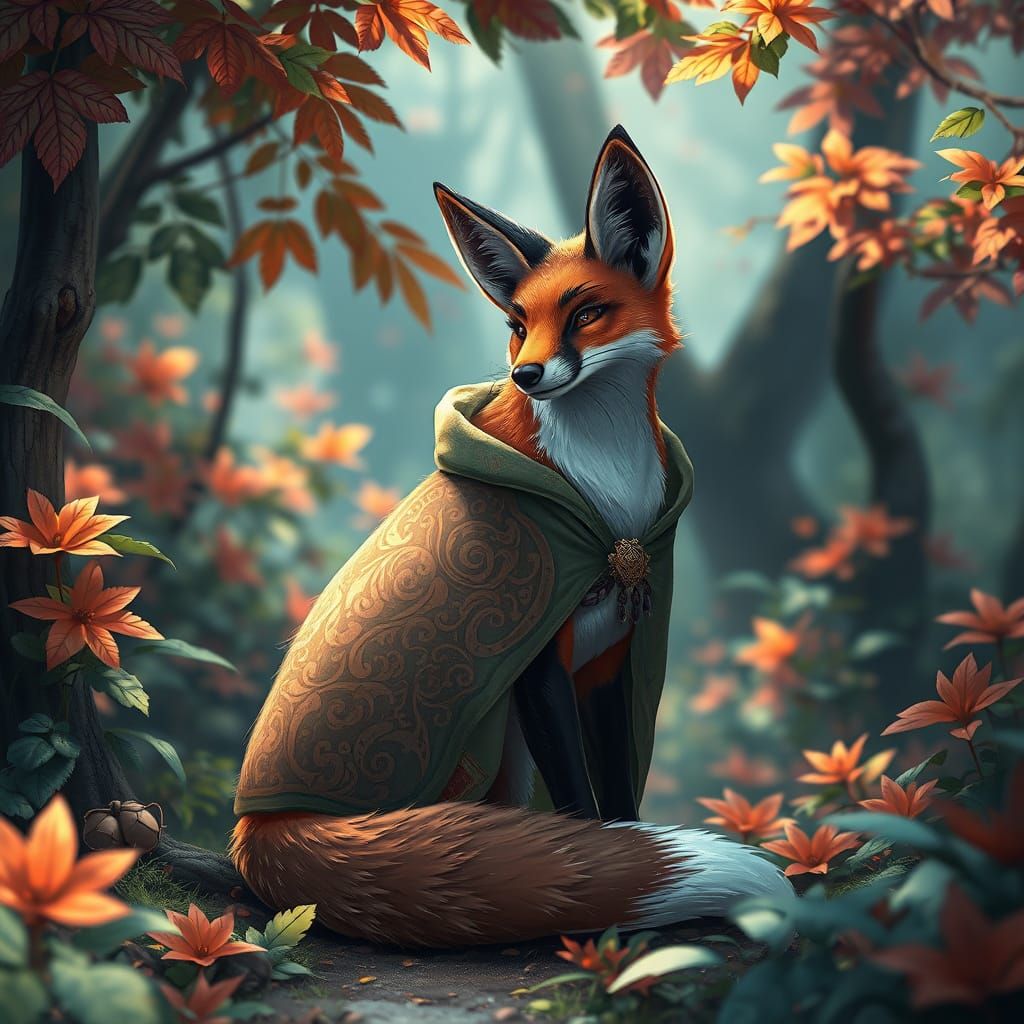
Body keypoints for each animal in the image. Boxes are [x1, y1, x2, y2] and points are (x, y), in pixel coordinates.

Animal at [231, 126, 789, 948]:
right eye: (518, 327)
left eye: (586, 314)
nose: (526, 374)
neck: (610, 508)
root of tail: (255, 831)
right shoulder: (535, 666)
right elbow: (584, 816)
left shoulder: (611, 660)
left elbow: (617, 804)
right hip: (487, 738)